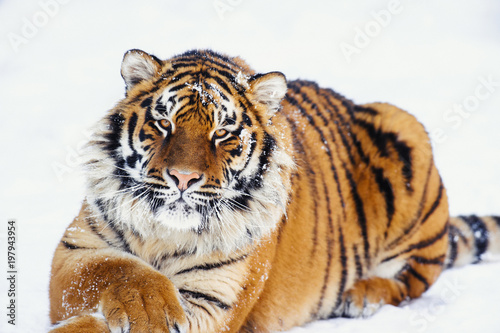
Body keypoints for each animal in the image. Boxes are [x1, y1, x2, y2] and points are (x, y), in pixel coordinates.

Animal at [47, 48, 500, 330]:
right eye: (164, 123)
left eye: (222, 132)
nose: (182, 178)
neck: (166, 235)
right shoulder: (73, 254)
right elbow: (117, 269)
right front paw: (148, 307)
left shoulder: (212, 301)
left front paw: (151, 314)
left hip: (406, 132)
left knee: (410, 281)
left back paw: (361, 296)